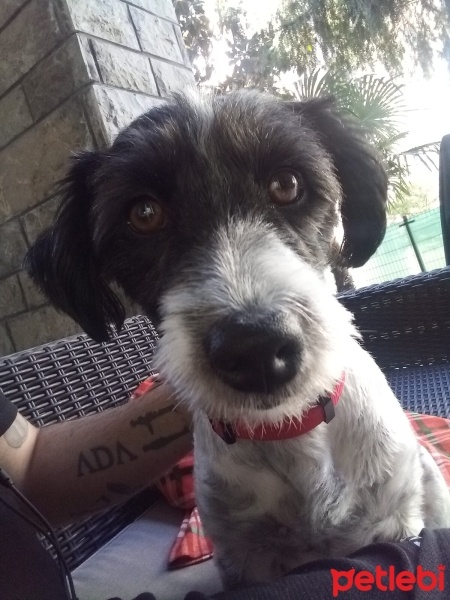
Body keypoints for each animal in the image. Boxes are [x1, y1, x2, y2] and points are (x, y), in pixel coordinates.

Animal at [26, 91, 450, 588]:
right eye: (144, 214)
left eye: (287, 184)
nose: (255, 348)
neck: (289, 429)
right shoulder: (245, 561)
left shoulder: (396, 523)